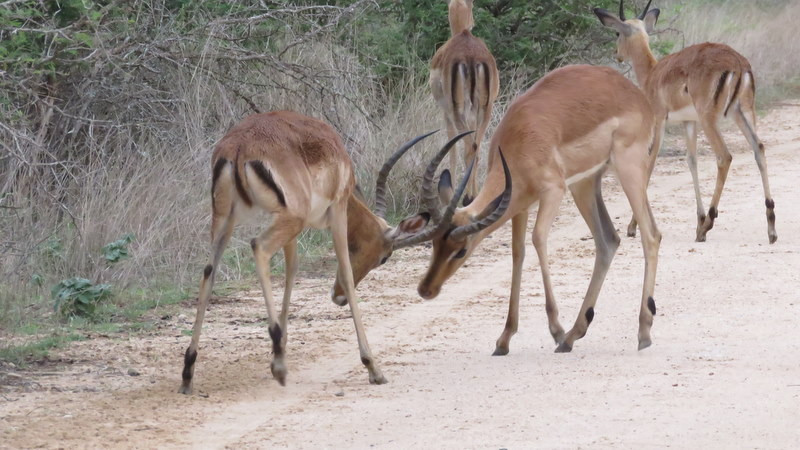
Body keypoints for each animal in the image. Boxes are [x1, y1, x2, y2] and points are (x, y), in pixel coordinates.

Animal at [178, 110, 465, 394]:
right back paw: (279, 366)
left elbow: (291, 271)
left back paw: (188, 373)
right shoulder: (337, 212)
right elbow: (346, 275)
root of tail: (239, 148)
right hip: (286, 218)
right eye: (384, 258)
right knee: (258, 247)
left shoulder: (292, 229)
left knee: (209, 272)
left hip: (226, 218)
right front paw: (373, 367)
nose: (337, 299)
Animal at [411, 64, 662, 354]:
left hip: (627, 170)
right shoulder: (519, 206)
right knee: (608, 240)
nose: (426, 290)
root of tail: (637, 96)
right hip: (586, 184)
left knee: (651, 235)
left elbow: (539, 238)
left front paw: (555, 330)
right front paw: (504, 338)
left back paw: (642, 332)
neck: (520, 139)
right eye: (434, 244)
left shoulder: (553, 191)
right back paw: (574, 334)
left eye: (461, 250)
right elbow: (518, 253)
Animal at [430, 0, 500, 206]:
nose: (473, 22)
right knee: (476, 147)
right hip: (485, 110)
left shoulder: (446, 112)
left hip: (458, 111)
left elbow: (451, 147)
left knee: (468, 147)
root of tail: (471, 57)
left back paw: (467, 198)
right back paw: (474, 197)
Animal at [594, 1, 777, 243]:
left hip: (711, 119)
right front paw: (698, 219)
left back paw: (708, 225)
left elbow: (650, 162)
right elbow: (692, 161)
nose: (617, 55)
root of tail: (738, 62)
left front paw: (633, 227)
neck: (652, 73)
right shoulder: (689, 122)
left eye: (617, 33)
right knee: (759, 148)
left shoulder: (658, 120)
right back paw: (771, 228)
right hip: (743, 112)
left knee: (725, 157)